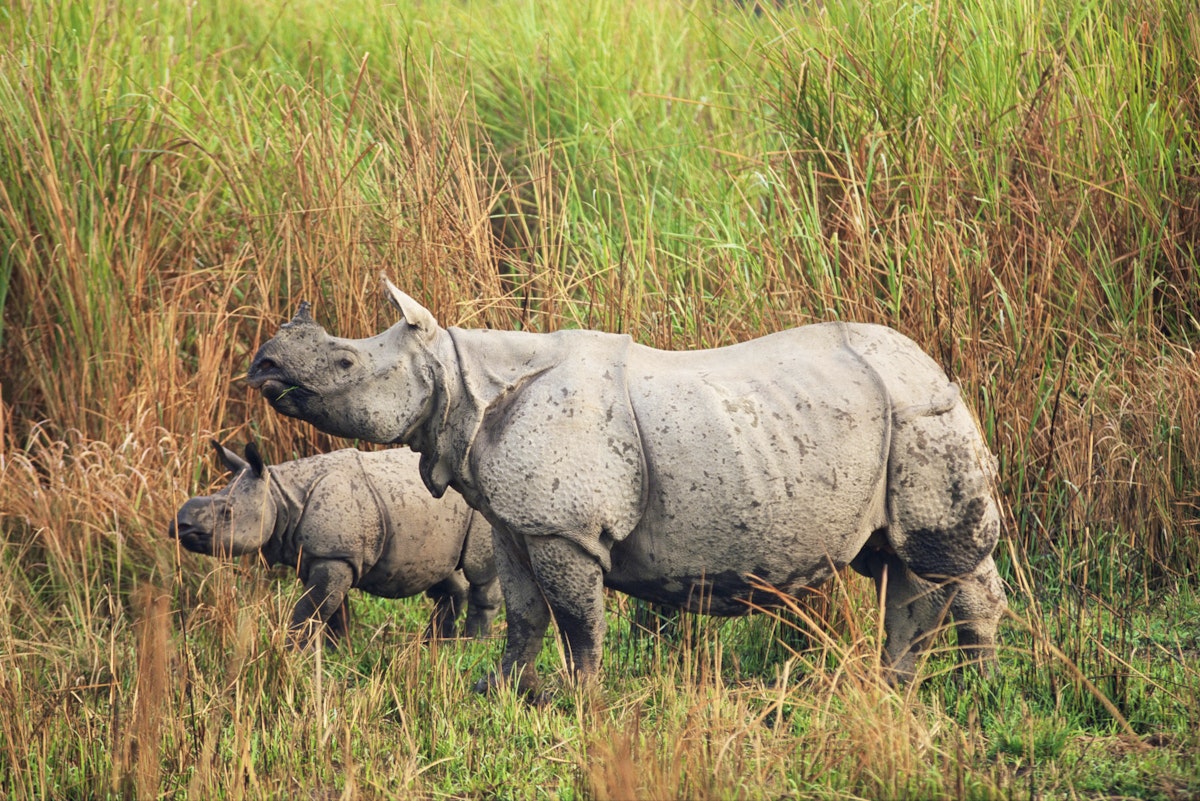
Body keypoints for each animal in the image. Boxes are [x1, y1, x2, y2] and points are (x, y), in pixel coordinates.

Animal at [170, 438, 501, 642]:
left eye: (227, 512)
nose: (180, 526)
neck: (279, 495)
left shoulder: (334, 555)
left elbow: (311, 610)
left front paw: (293, 652)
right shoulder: (320, 556)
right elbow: (332, 610)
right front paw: (339, 652)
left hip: (480, 504)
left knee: (479, 572)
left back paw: (474, 644)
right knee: (446, 574)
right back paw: (435, 645)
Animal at [248, 282, 1008, 695]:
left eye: (344, 363)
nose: (263, 364)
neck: (459, 376)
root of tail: (935, 365)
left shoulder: (565, 526)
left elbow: (577, 617)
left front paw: (577, 696)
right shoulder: (516, 523)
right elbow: (525, 612)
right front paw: (500, 688)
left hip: (921, 412)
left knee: (937, 560)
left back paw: (952, 684)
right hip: (890, 416)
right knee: (900, 561)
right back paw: (921, 682)